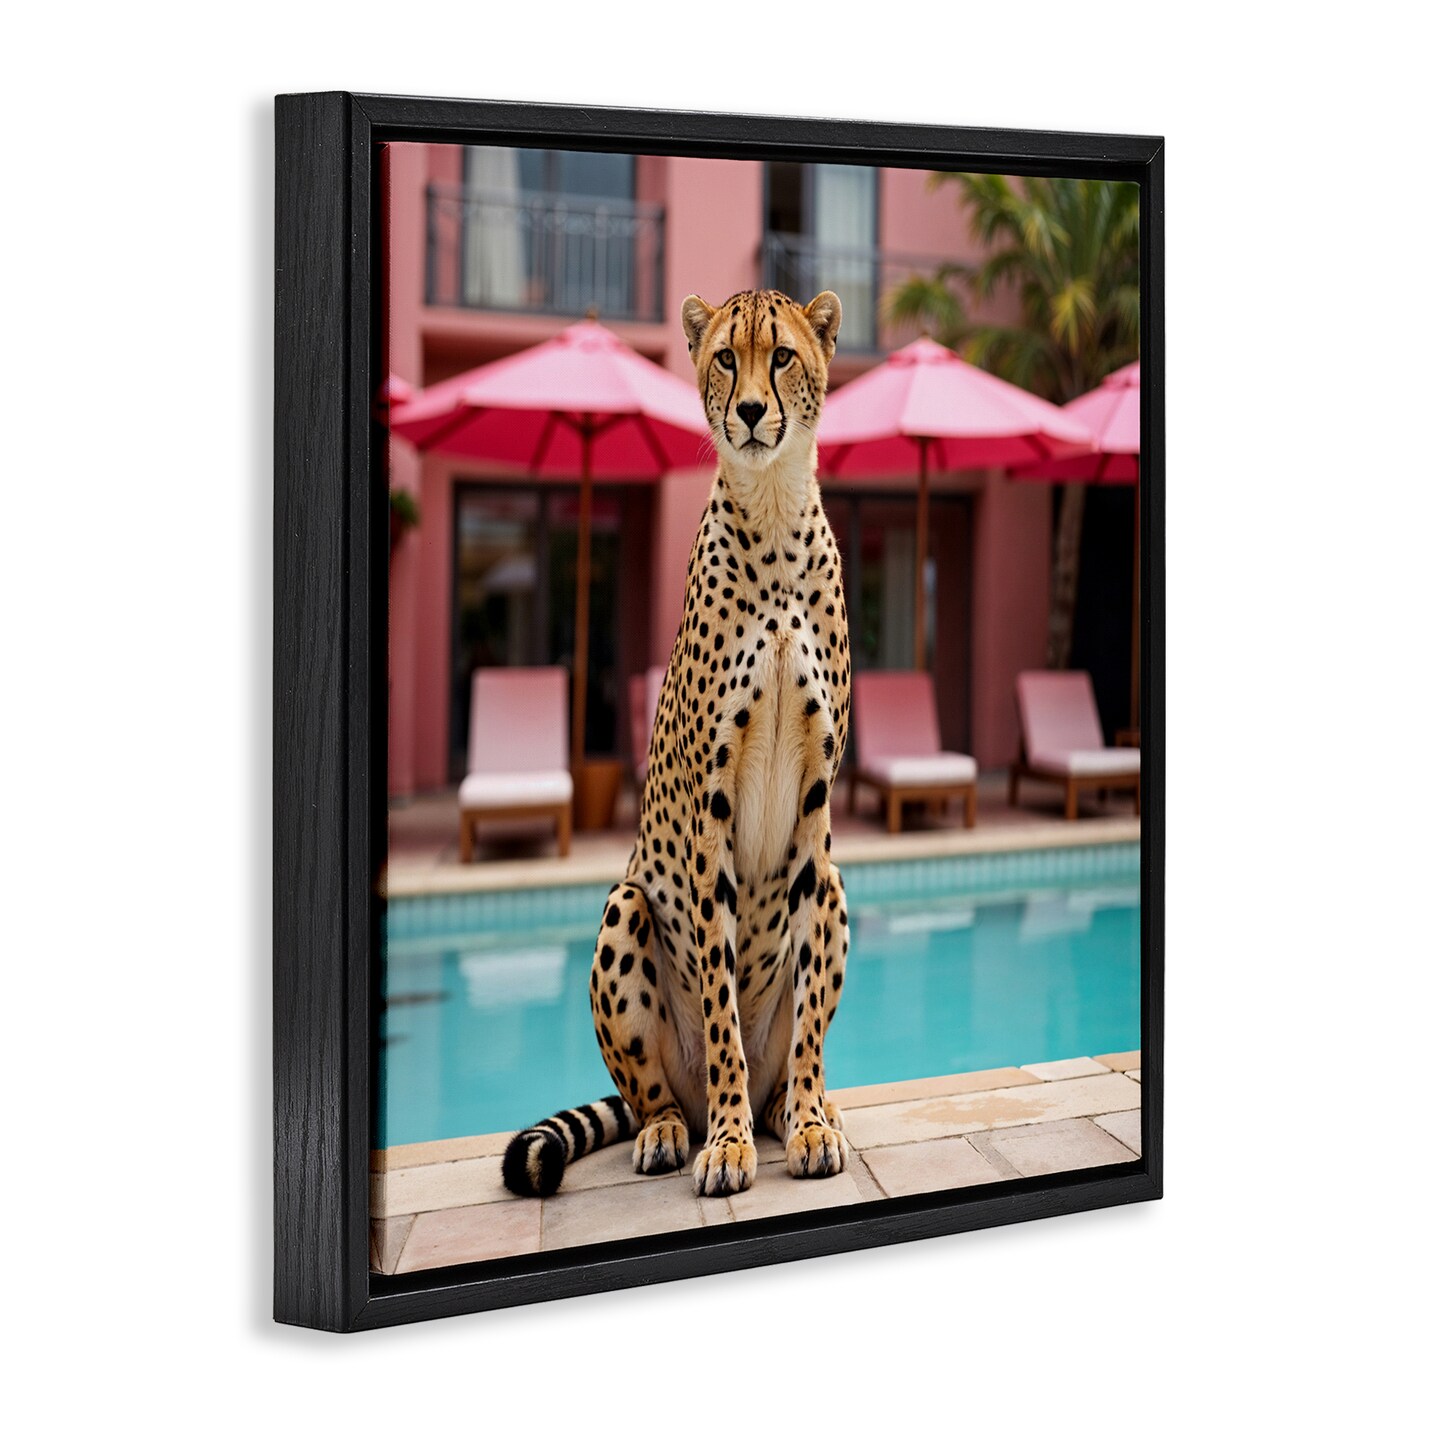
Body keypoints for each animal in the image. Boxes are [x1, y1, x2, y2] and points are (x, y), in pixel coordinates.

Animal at [502, 288, 852, 1199]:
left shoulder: (816, 809)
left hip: (836, 884)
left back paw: (795, 1107)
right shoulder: (709, 808)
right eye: (727, 357)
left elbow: (806, 1010)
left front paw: (808, 1123)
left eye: (783, 357)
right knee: (654, 1093)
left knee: (791, 1052)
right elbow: (721, 1007)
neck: (774, 513)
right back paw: (678, 1128)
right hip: (625, 906)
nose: (753, 411)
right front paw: (727, 1145)